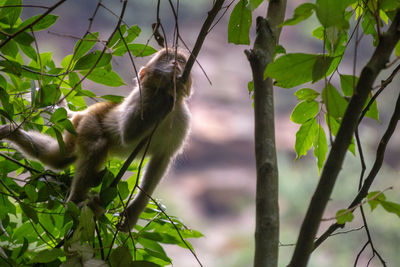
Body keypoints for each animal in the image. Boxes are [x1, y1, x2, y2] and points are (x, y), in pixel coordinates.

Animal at [0, 48, 192, 232]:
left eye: (181, 60)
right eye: (166, 58)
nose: (175, 64)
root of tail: (81, 113)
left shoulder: (183, 119)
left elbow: (161, 159)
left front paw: (133, 213)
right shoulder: (142, 94)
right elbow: (128, 133)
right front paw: (170, 92)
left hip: (76, 129)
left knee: (59, 159)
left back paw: (10, 132)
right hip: (90, 121)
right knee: (95, 146)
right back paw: (75, 204)